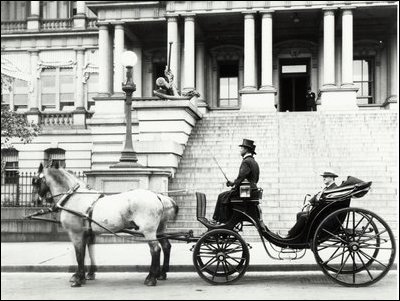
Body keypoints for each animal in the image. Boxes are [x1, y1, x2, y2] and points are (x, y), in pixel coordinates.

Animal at [32, 163, 179, 288]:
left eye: (36, 181)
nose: (35, 201)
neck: (73, 197)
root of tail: (157, 196)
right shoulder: (88, 233)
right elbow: (88, 252)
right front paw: (87, 274)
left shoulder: (76, 234)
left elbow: (79, 255)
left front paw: (78, 278)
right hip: (159, 229)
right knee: (166, 246)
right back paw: (161, 274)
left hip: (148, 231)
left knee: (155, 249)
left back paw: (151, 278)